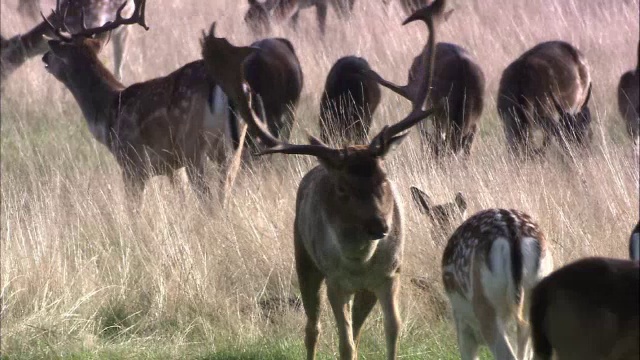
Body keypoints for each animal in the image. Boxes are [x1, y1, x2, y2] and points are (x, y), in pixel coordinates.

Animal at [42, 0, 250, 207]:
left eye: (58, 48)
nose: (44, 57)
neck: (110, 111)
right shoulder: (173, 168)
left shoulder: (132, 162)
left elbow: (134, 209)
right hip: (232, 147)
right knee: (224, 193)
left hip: (193, 144)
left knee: (208, 199)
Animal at [202, 3, 448, 360]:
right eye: (342, 188)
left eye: (384, 177)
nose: (380, 225)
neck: (361, 263)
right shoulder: (335, 279)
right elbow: (344, 343)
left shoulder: (390, 275)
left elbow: (392, 331)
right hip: (304, 259)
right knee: (313, 327)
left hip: (358, 287)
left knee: (352, 327)